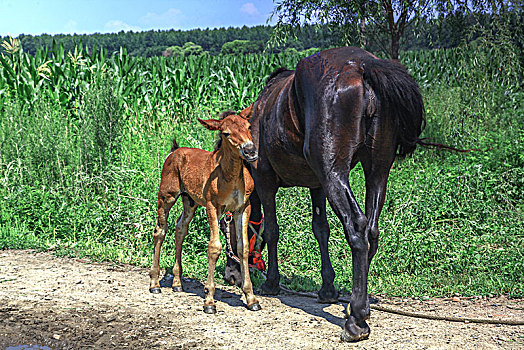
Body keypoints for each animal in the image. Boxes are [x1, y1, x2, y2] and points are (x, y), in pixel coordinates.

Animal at [148, 113, 260, 314]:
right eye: (225, 133)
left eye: (248, 126)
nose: (250, 151)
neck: (230, 175)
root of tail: (174, 151)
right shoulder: (212, 206)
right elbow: (214, 247)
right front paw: (209, 300)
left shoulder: (243, 208)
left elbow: (243, 248)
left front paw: (251, 298)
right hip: (166, 196)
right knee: (160, 230)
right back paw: (154, 283)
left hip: (189, 201)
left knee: (180, 229)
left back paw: (177, 282)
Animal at [239, 47, 424, 342]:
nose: (232, 273)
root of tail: (363, 65)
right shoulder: (317, 186)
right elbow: (321, 229)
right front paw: (328, 287)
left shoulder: (265, 180)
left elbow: (271, 230)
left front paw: (271, 281)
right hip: (377, 170)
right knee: (371, 231)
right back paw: (356, 305)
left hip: (333, 172)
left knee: (357, 228)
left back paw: (356, 319)